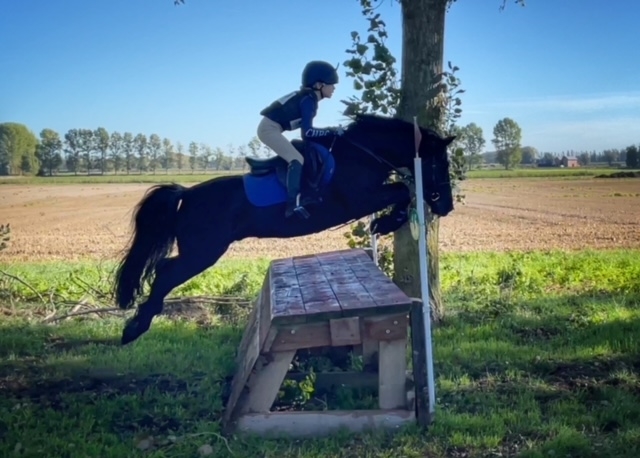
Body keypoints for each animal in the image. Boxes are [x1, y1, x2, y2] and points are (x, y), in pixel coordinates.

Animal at [114, 113, 456, 344]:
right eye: (440, 164)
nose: (447, 206)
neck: (362, 154)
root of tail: (186, 194)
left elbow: (404, 191)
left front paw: (385, 222)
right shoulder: (361, 198)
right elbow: (403, 191)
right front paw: (387, 221)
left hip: (201, 251)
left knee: (163, 269)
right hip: (204, 251)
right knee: (166, 272)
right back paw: (135, 328)